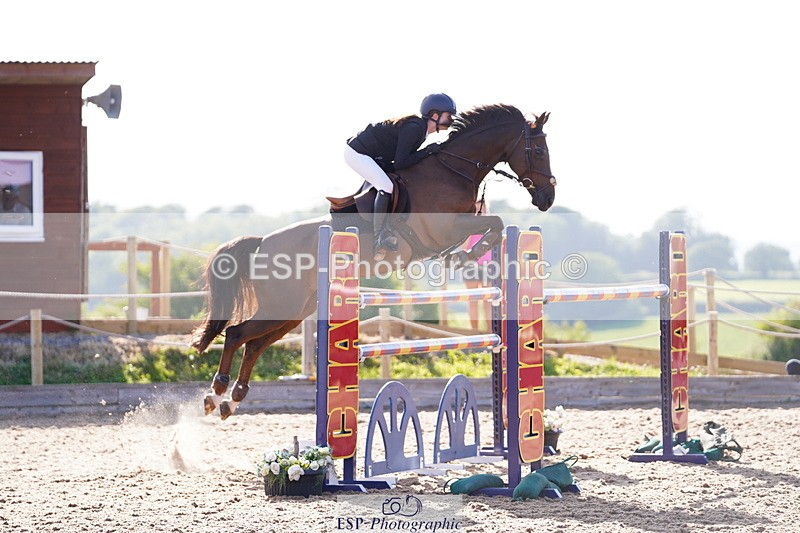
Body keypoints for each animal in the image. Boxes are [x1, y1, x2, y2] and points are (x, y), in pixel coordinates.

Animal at [190, 104, 556, 419]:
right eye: (538, 151)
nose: (548, 198)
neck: (454, 169)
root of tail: (262, 243)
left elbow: (494, 225)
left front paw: (465, 255)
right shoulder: (443, 229)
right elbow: (493, 223)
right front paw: (465, 255)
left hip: (294, 310)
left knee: (254, 344)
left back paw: (232, 399)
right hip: (282, 304)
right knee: (236, 334)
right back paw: (215, 393)